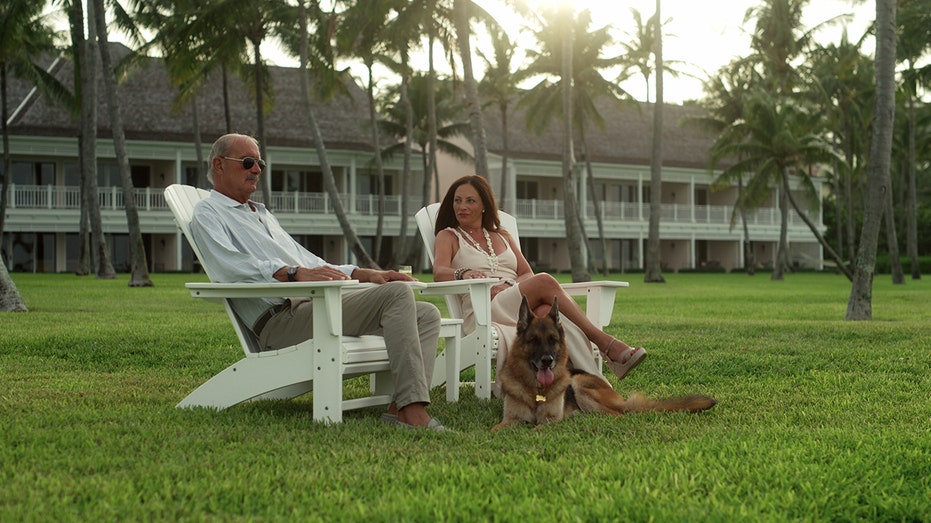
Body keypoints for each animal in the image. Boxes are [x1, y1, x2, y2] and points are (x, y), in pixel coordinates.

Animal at [492, 296, 716, 432]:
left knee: (617, 415)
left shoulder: (551, 421)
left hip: (580, 386)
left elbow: (535, 428)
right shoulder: (509, 420)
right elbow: (496, 430)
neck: (536, 390)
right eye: (533, 340)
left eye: (553, 340)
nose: (548, 361)